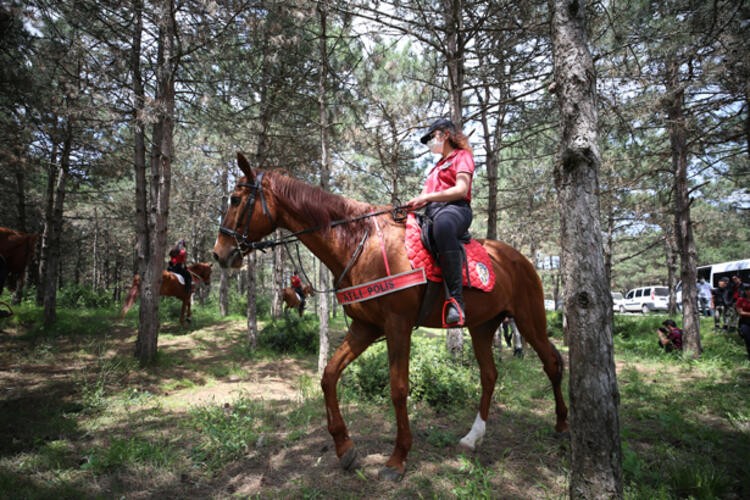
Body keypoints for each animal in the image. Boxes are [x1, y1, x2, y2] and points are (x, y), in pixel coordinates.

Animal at [212, 152, 568, 480]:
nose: (219, 254)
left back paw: (562, 425)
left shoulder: (398, 326)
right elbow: (329, 375)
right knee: (490, 375)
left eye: (235, 199)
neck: (360, 245)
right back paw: (472, 437)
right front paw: (344, 447)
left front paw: (397, 458)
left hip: (529, 319)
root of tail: (520, 259)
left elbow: (397, 389)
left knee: (551, 362)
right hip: (482, 326)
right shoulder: (365, 327)